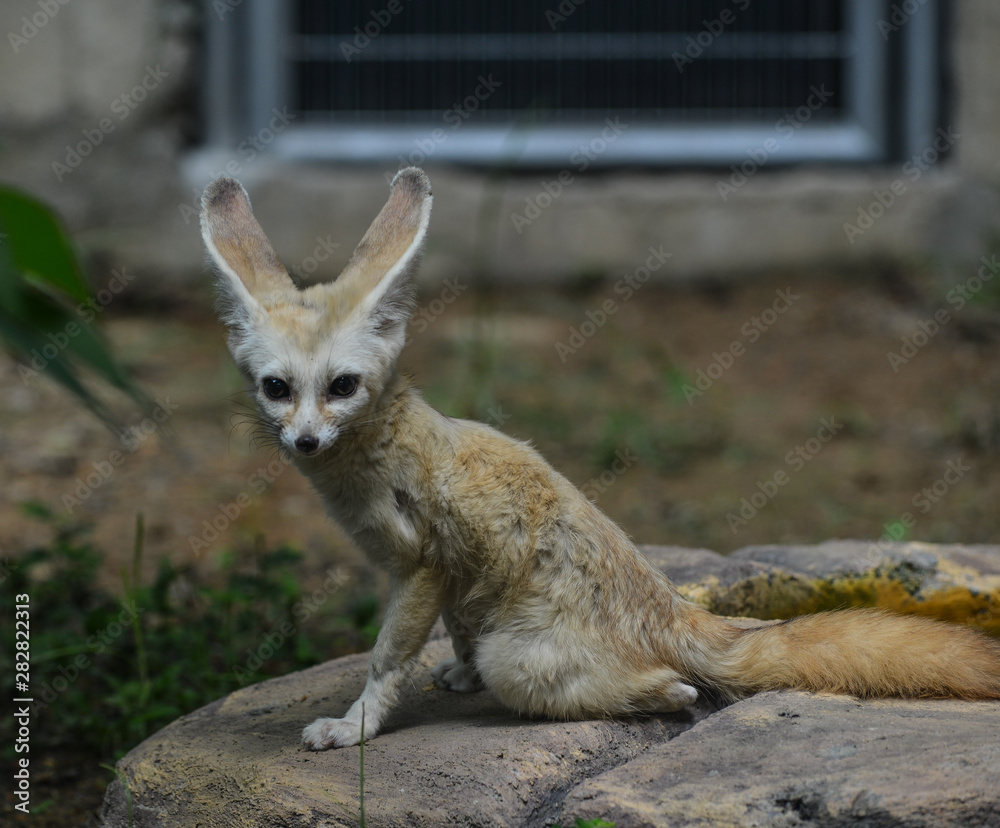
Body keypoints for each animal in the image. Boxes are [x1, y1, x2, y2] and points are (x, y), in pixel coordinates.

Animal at [200, 167, 1000, 750]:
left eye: (341, 387)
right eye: (276, 389)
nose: (304, 441)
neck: (379, 453)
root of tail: (678, 611)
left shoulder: (419, 564)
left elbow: (386, 660)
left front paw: (356, 727)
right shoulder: (452, 576)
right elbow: (455, 627)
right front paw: (448, 673)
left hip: (515, 661)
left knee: (680, 688)